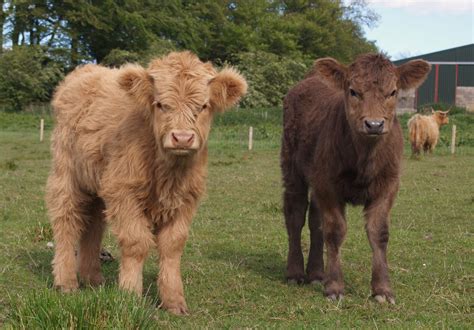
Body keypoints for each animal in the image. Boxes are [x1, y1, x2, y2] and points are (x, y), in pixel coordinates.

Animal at [45, 51, 248, 314]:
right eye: (160, 104)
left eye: (203, 106)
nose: (182, 137)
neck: (168, 173)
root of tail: (86, 70)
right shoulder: (124, 192)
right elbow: (136, 243)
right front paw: (129, 296)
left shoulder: (187, 199)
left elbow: (173, 246)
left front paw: (174, 302)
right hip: (67, 175)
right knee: (66, 221)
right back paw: (66, 282)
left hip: (97, 185)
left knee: (94, 226)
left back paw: (93, 279)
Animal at [280, 52, 432, 302]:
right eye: (353, 91)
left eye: (393, 92)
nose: (374, 124)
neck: (364, 159)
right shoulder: (328, 186)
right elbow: (335, 231)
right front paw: (334, 287)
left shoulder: (388, 185)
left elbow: (379, 233)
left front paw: (382, 290)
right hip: (292, 168)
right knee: (295, 214)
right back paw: (295, 273)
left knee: (315, 220)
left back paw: (316, 274)